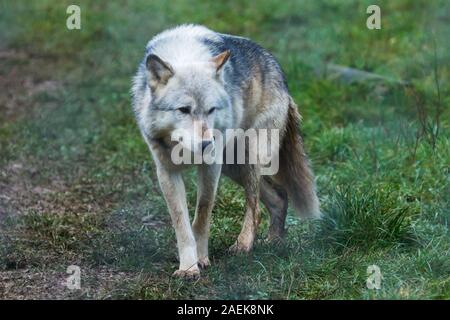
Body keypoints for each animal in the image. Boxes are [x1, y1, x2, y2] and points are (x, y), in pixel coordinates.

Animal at [130, 24, 320, 278]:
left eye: (211, 110)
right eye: (183, 110)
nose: (205, 144)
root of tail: (280, 73)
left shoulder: (211, 166)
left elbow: (201, 216)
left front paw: (201, 260)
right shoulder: (167, 172)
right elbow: (182, 224)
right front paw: (188, 268)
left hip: (248, 157)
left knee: (255, 208)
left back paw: (243, 246)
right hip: (233, 167)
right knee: (279, 197)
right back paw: (274, 243)